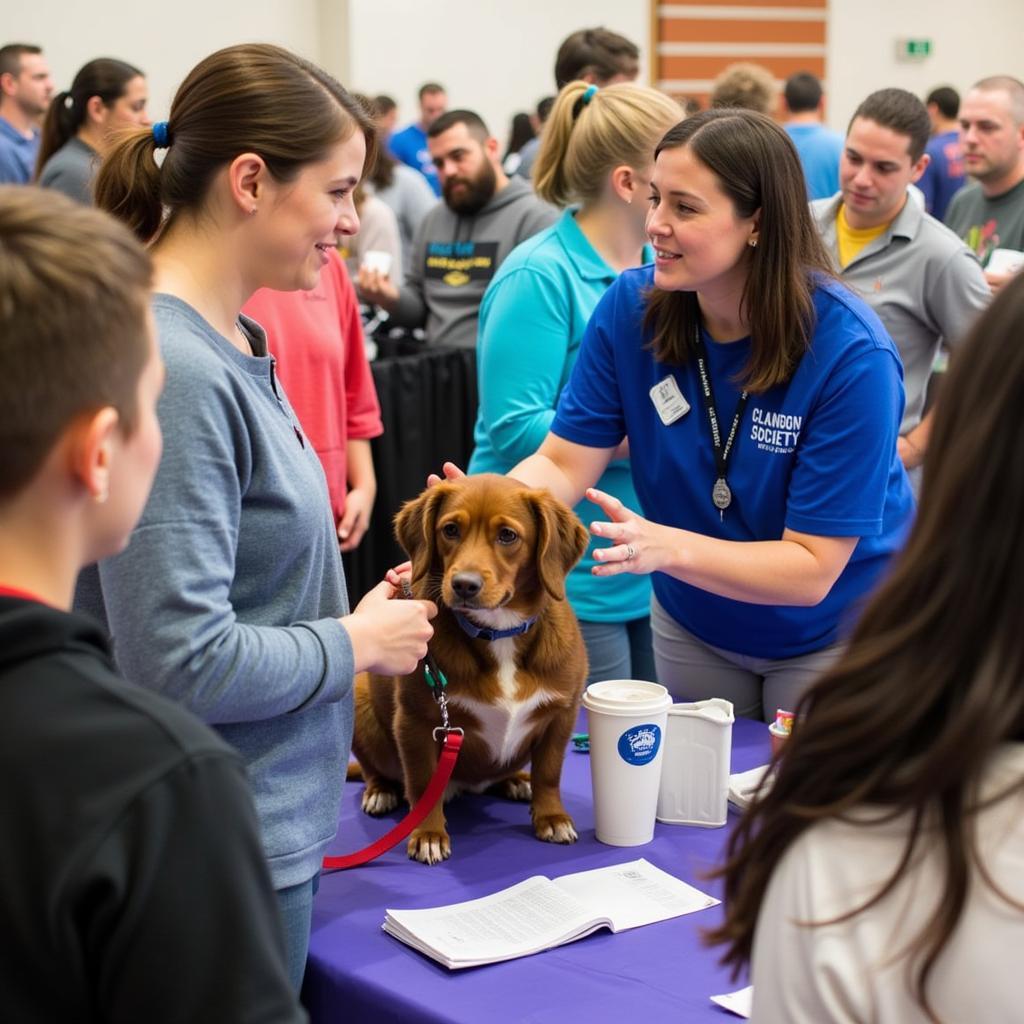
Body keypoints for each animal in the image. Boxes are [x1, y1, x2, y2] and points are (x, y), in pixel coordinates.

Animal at [352, 471, 589, 864]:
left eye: (507, 535)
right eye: (450, 530)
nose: (464, 585)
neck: (499, 632)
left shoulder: (562, 715)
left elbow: (549, 772)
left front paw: (551, 817)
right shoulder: (416, 722)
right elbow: (421, 782)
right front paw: (428, 834)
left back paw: (515, 780)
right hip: (360, 704)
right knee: (377, 771)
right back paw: (380, 790)